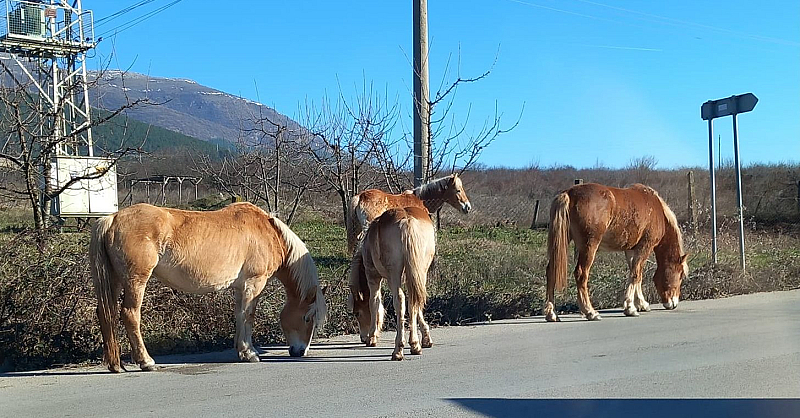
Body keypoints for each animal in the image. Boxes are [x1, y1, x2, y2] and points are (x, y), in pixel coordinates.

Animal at [93, 202, 328, 372]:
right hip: (136, 281)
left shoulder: (240, 288)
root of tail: (112, 218)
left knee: (107, 314)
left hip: (115, 281)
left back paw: (115, 365)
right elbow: (249, 316)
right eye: (307, 318)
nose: (299, 352)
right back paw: (146, 361)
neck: (269, 232)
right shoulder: (254, 283)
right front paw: (250, 353)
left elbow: (239, 315)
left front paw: (241, 351)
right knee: (130, 314)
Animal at [348, 205, 438, 360]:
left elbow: (374, 303)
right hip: (420, 272)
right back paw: (415, 345)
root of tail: (407, 221)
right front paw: (426, 339)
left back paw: (398, 349)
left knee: (400, 301)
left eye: (357, 313)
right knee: (415, 300)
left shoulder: (373, 277)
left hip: (393, 275)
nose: (362, 337)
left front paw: (372, 337)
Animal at [544, 181, 688, 322]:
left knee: (551, 271)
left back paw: (552, 314)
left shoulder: (631, 251)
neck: (657, 209)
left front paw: (641, 304)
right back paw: (590, 312)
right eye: (681, 275)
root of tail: (568, 194)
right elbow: (636, 274)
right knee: (581, 274)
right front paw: (630, 308)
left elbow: (636, 274)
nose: (673, 303)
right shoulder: (645, 247)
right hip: (589, 246)